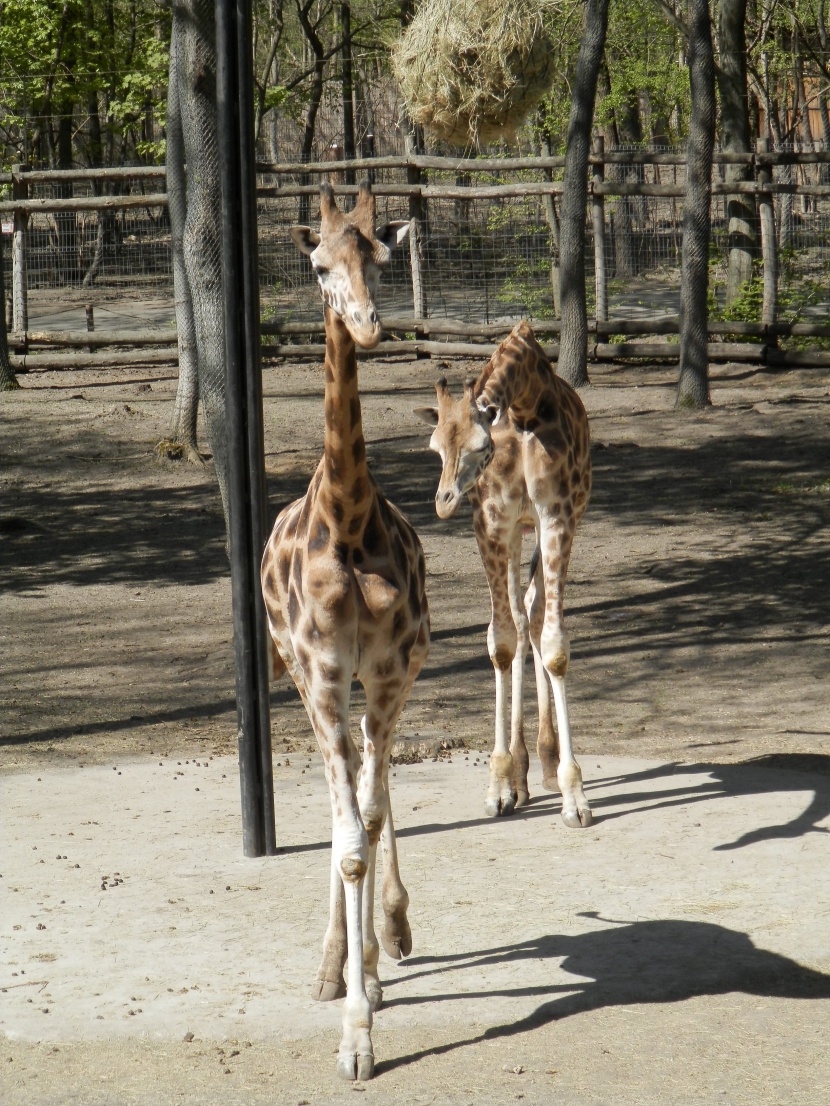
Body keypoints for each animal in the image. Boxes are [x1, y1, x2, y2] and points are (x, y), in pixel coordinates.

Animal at [416, 322, 593, 827]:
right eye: (434, 446)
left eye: (480, 446)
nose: (444, 502)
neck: (524, 408)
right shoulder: (494, 522)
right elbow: (501, 642)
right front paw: (499, 785)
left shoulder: (556, 517)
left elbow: (553, 646)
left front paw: (574, 795)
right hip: (515, 532)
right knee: (519, 617)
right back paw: (521, 774)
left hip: (545, 525)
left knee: (533, 616)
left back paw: (547, 764)